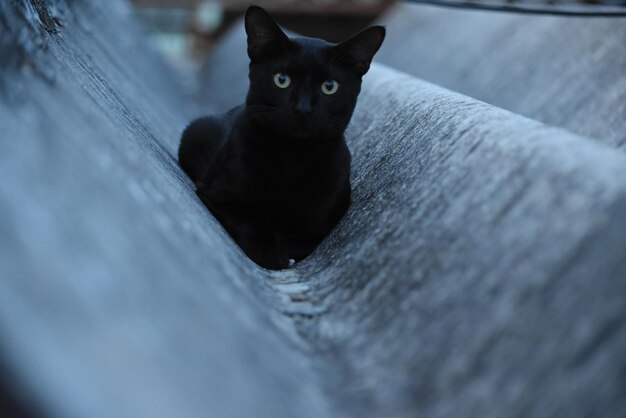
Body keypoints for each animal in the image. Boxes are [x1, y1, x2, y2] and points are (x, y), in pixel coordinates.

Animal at [178, 6, 382, 272]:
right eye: (282, 79)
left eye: (329, 86)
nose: (303, 108)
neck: (292, 156)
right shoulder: (216, 194)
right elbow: (249, 220)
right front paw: (268, 252)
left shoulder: (325, 217)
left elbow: (301, 234)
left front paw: (283, 249)